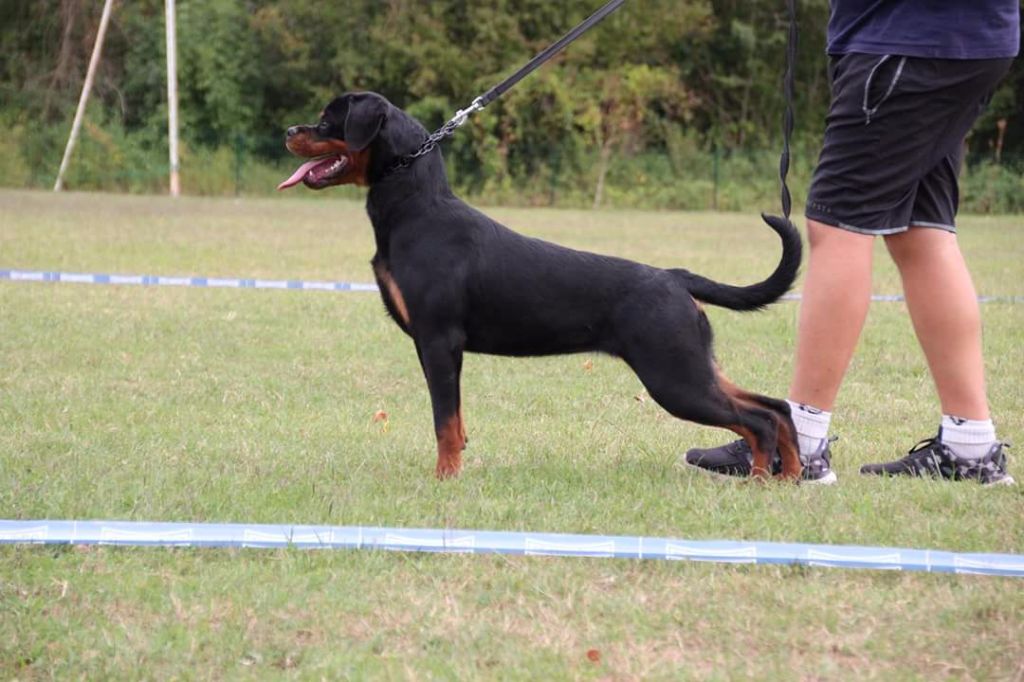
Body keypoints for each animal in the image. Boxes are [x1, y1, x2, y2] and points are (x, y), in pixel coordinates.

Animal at [279, 91, 803, 481]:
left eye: (327, 121)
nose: (289, 131)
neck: (416, 208)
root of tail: (675, 276)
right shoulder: (442, 348)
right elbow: (457, 420)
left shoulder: (438, 340)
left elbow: (443, 420)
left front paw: (444, 477)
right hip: (694, 367)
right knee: (777, 408)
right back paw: (789, 477)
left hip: (674, 377)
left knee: (758, 418)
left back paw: (762, 480)